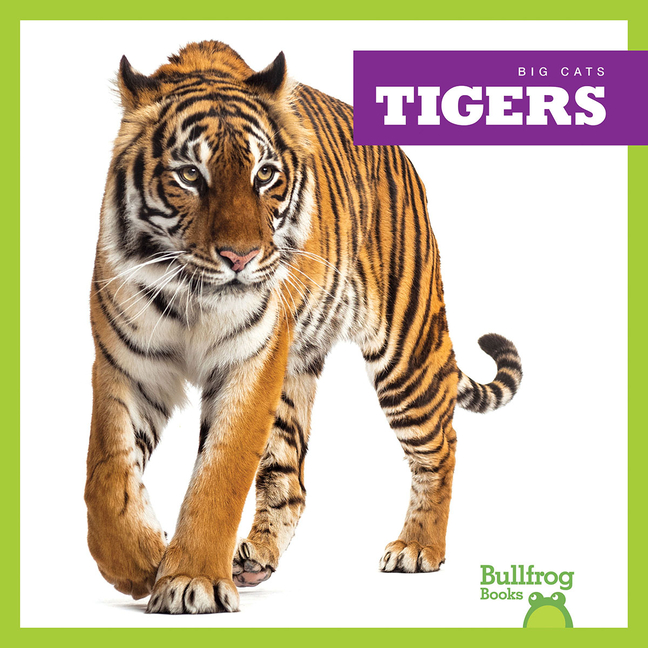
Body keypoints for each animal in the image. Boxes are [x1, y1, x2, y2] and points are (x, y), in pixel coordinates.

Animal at [86, 40, 522, 615]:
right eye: (190, 176)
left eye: (265, 175)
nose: (241, 257)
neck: (195, 296)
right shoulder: (128, 365)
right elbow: (108, 473)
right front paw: (138, 563)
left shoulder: (250, 363)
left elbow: (218, 476)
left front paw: (190, 579)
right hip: (296, 372)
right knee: (290, 479)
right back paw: (253, 558)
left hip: (406, 351)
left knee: (441, 444)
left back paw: (418, 547)